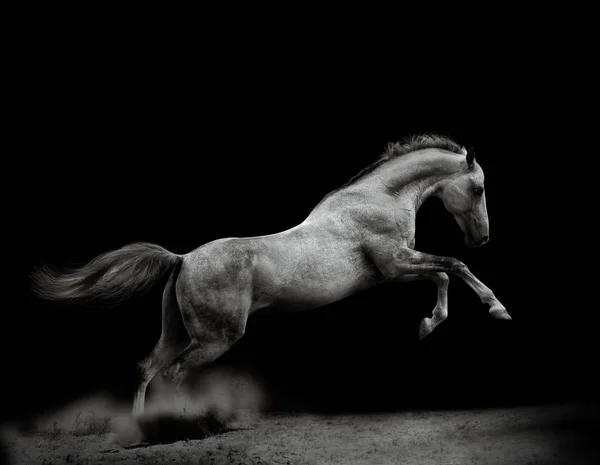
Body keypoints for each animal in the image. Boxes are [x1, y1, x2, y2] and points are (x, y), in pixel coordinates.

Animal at [30, 132, 510, 416]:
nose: (483, 238)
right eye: (479, 188)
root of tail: (182, 259)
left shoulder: (393, 271)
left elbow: (443, 275)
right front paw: (497, 309)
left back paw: (143, 430)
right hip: (215, 337)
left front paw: (427, 326)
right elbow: (454, 266)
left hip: (176, 332)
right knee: (173, 374)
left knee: (147, 367)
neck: (377, 199)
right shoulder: (396, 261)